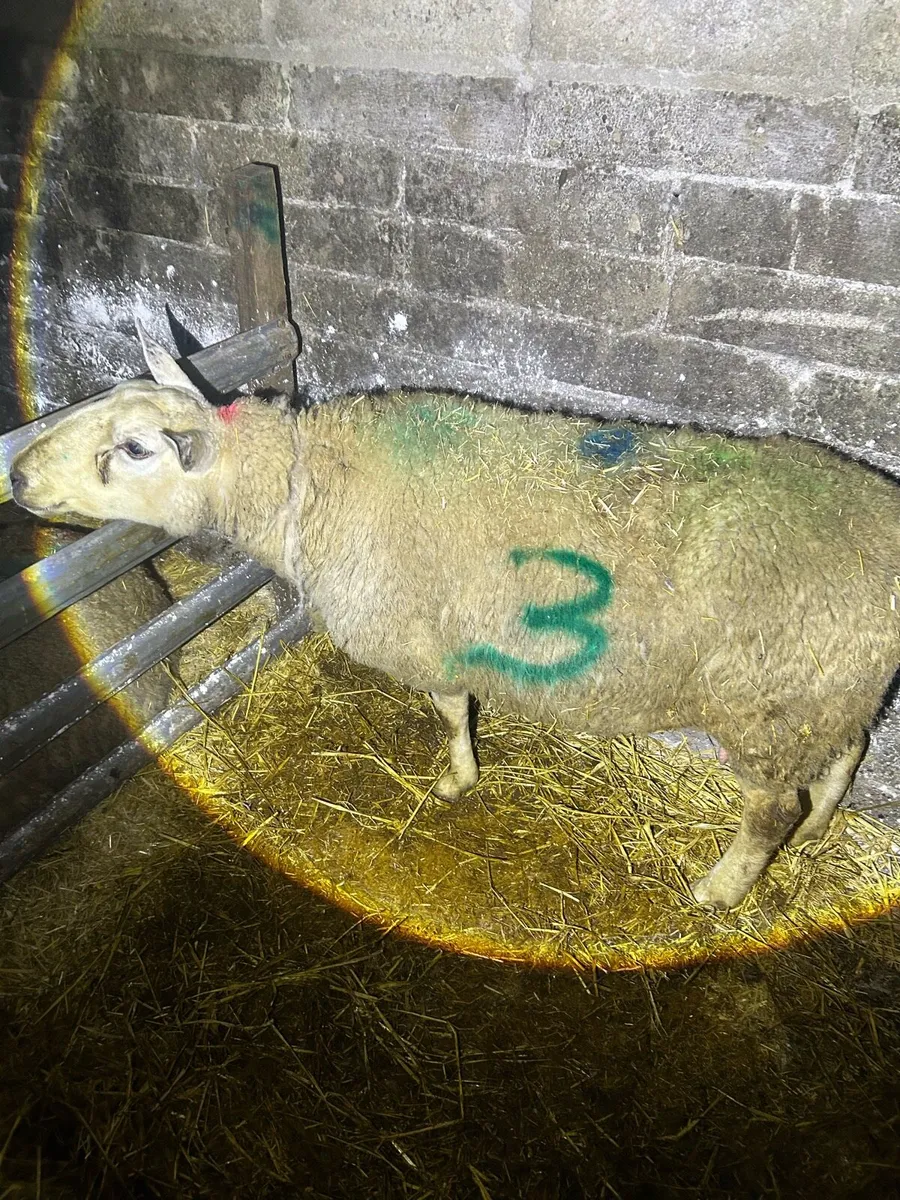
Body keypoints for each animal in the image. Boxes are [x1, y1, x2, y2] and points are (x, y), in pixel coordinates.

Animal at [10, 323, 900, 908]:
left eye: (133, 450)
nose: (16, 473)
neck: (303, 489)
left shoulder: (420, 636)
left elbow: (448, 710)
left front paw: (455, 780)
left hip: (766, 705)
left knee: (770, 811)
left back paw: (720, 888)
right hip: (830, 695)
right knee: (845, 755)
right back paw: (819, 831)